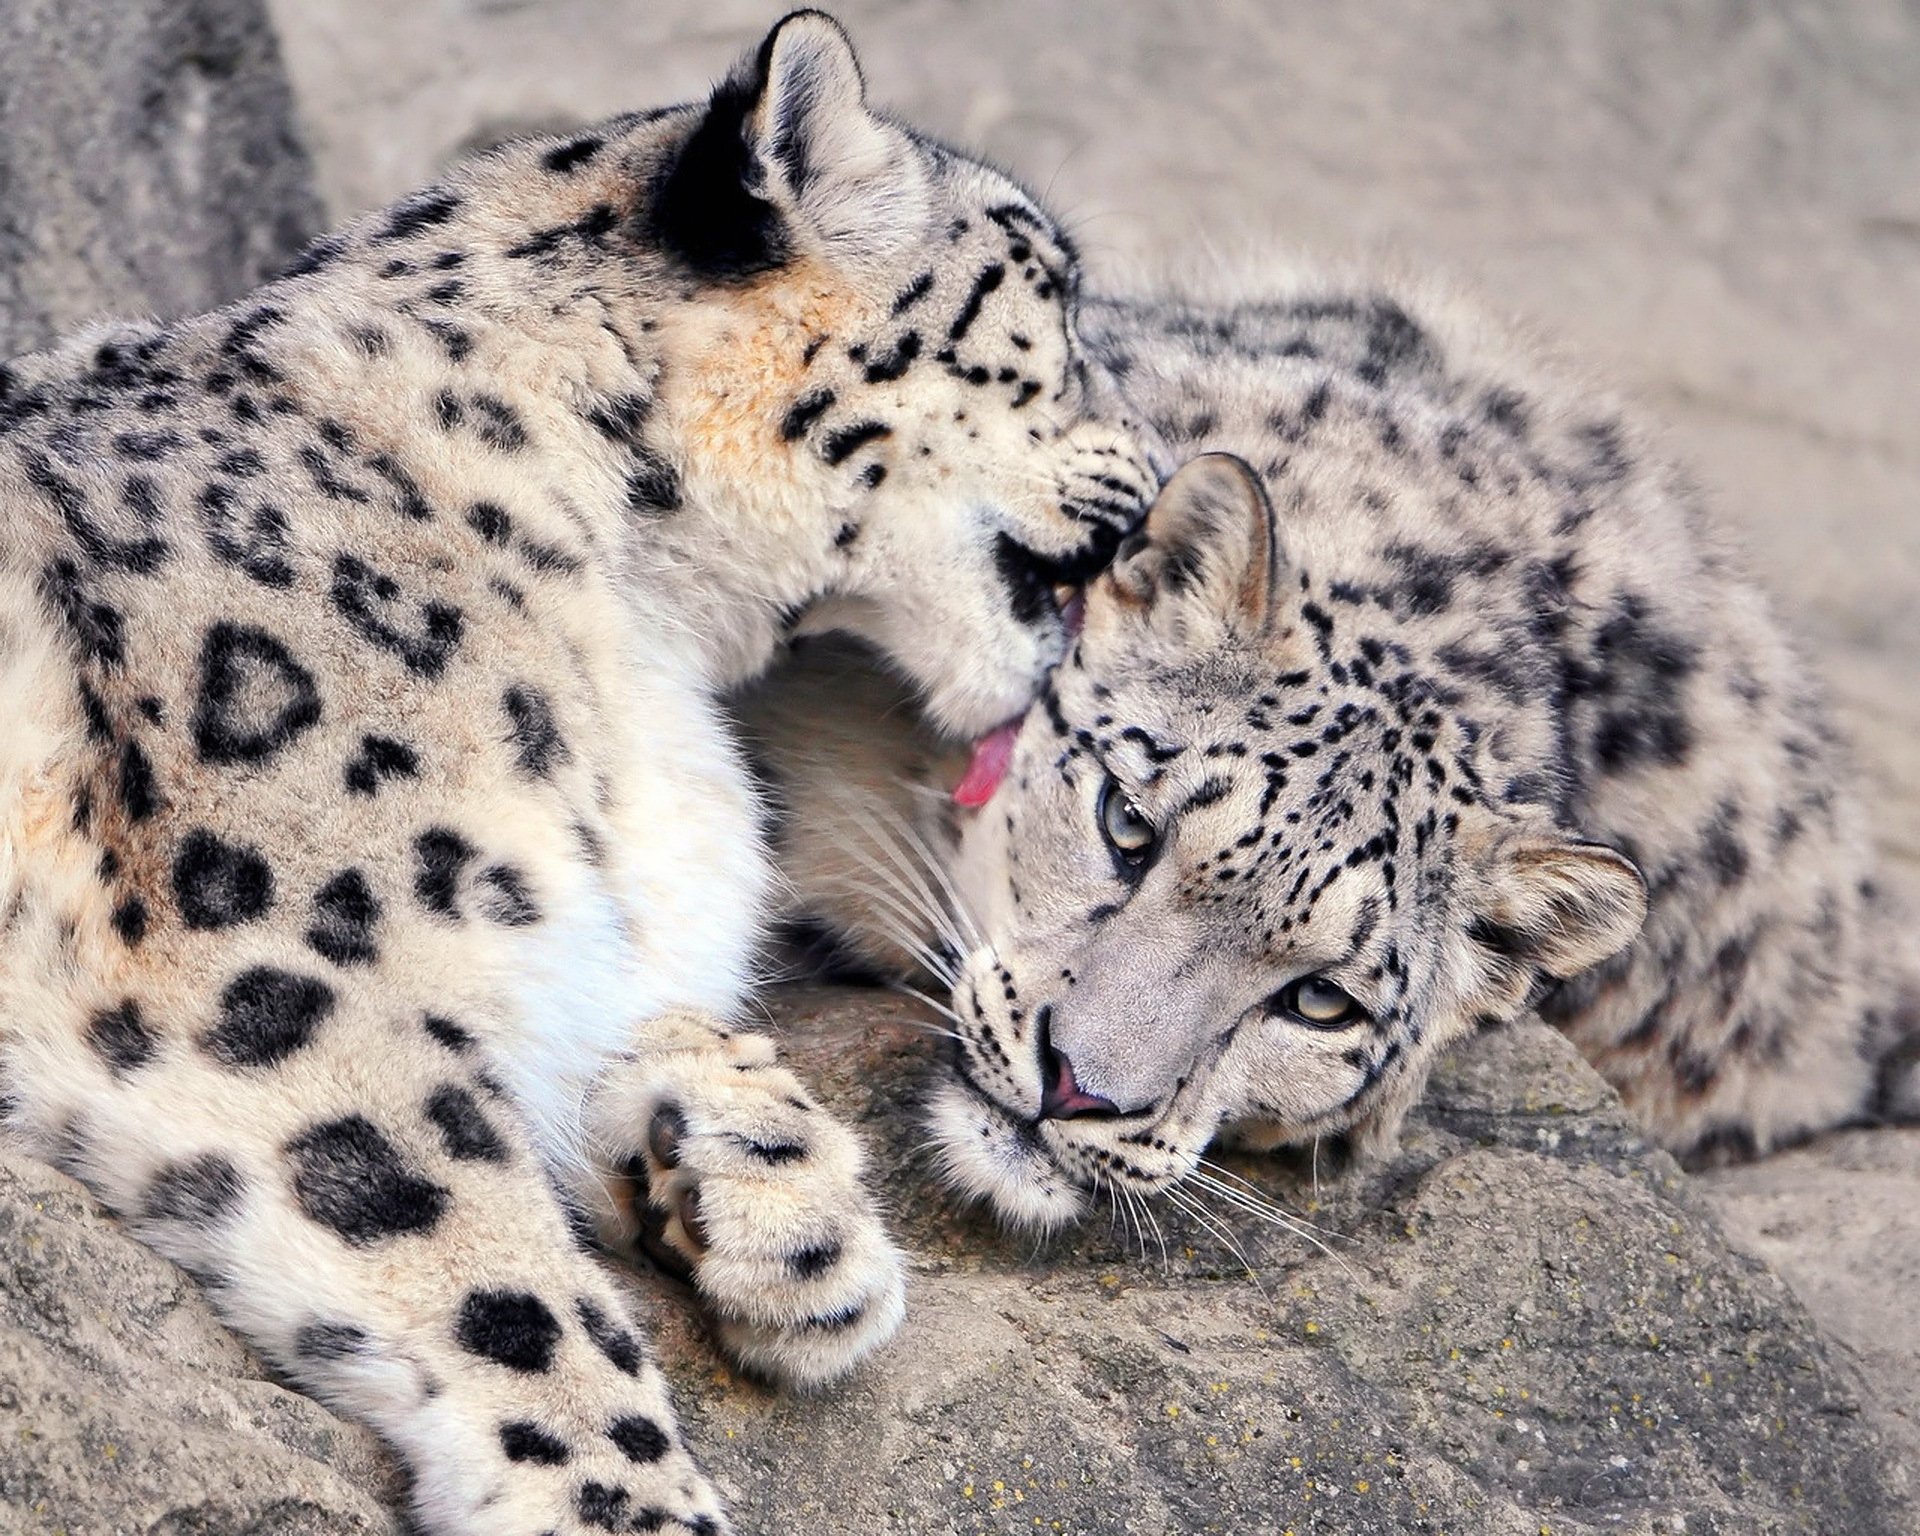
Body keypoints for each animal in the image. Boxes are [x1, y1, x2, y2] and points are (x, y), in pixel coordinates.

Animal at [0, 15, 1152, 1536]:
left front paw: (796, 1219)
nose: (1167, 469)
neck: (645, 633)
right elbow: (502, 1278)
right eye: (1054, 298)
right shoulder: (275, 974)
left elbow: (640, 1016)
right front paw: (634, 1499)